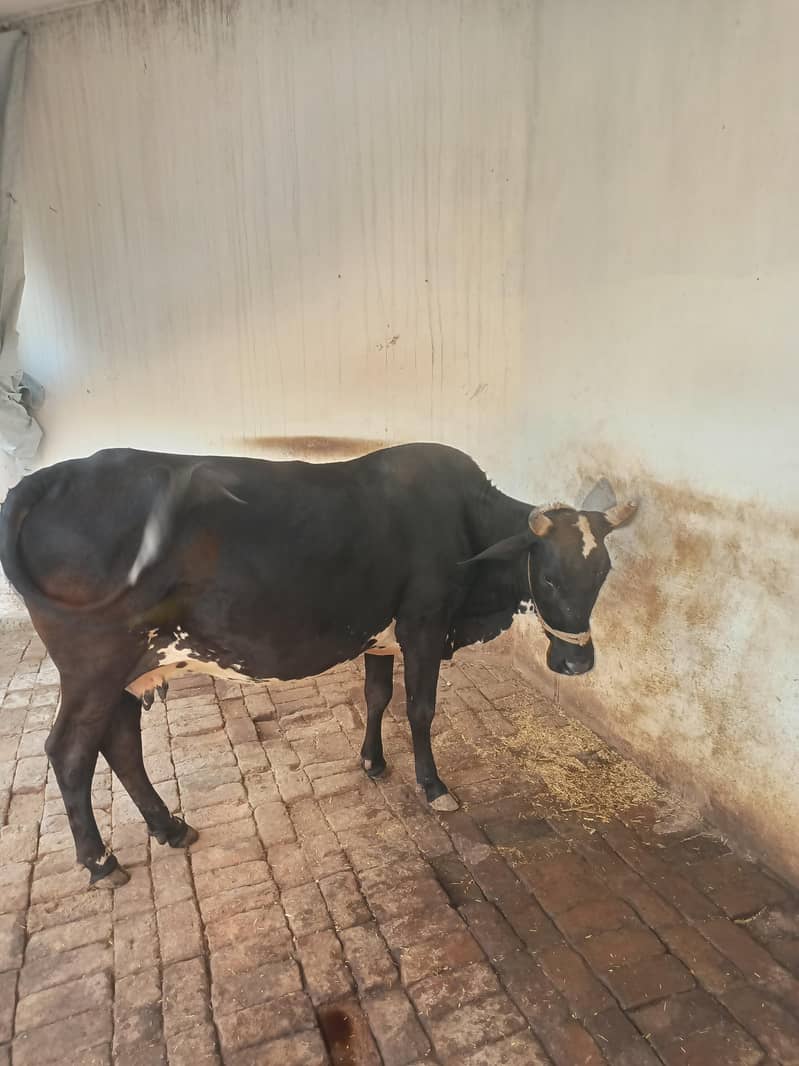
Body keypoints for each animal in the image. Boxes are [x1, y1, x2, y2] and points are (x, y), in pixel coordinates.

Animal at [0, 443, 636, 887]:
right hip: (95, 664)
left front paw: (373, 762)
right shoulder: (424, 625)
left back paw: (169, 826)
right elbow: (420, 709)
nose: (577, 661)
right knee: (70, 752)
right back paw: (99, 862)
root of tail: (51, 477)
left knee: (121, 744)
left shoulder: (380, 635)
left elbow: (377, 697)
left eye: (603, 573)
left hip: (133, 667)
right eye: (548, 576)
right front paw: (432, 786)